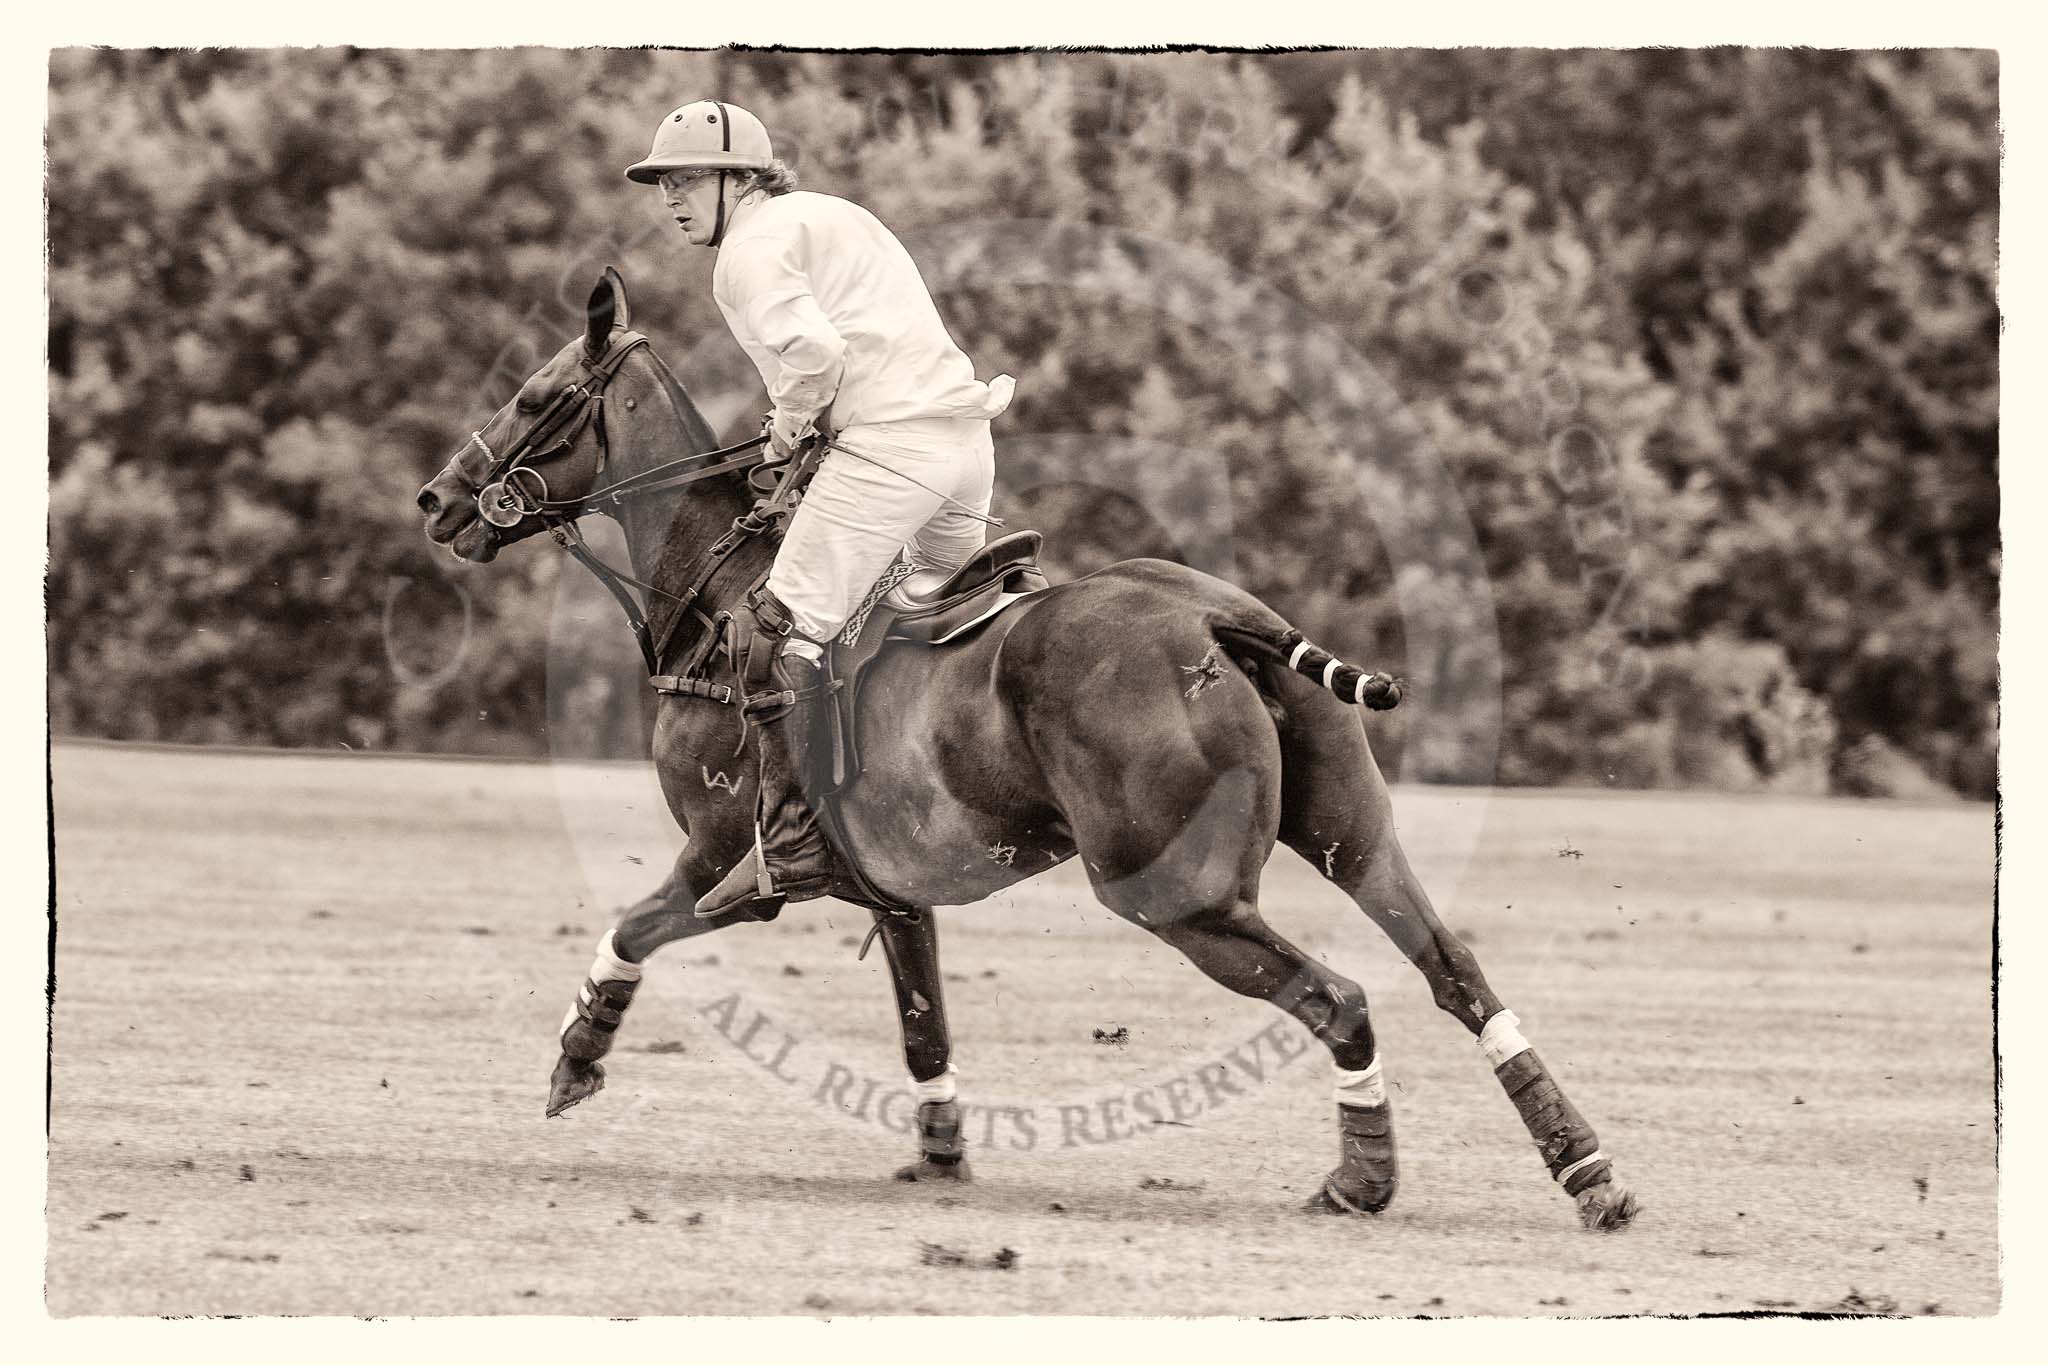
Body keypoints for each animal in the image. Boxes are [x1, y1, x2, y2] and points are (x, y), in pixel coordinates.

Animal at [419, 270, 1646, 1227]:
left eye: (534, 397)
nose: (436, 499)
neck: (714, 598)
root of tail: (1217, 619)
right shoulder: (889, 887)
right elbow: (922, 1025)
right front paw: (940, 1152)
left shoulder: (730, 849)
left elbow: (633, 926)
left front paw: (576, 1054)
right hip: (1348, 828)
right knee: (1453, 968)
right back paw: (1585, 1168)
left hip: (1170, 890)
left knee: (1341, 998)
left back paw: (1362, 1181)